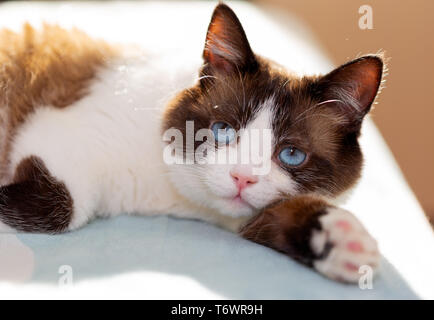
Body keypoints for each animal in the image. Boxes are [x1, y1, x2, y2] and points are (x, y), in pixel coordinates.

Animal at [0, 3, 380, 282]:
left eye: (291, 154)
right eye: (223, 131)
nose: (242, 178)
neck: (167, 193)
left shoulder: (239, 217)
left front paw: (342, 241)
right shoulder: (57, 132)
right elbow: (60, 208)